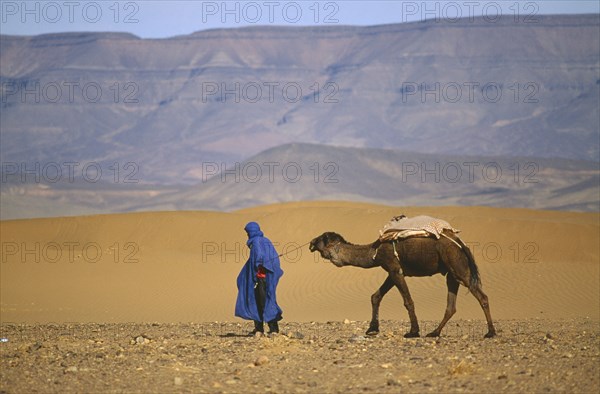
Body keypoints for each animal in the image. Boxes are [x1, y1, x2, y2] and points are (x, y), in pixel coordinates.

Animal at [310, 231, 496, 338]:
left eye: (320, 239)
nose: (311, 243)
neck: (374, 252)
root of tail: (462, 244)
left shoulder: (394, 269)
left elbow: (408, 301)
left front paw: (413, 331)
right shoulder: (393, 272)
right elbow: (375, 296)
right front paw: (372, 328)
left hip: (458, 266)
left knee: (482, 296)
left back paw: (491, 332)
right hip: (451, 273)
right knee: (451, 305)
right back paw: (434, 332)